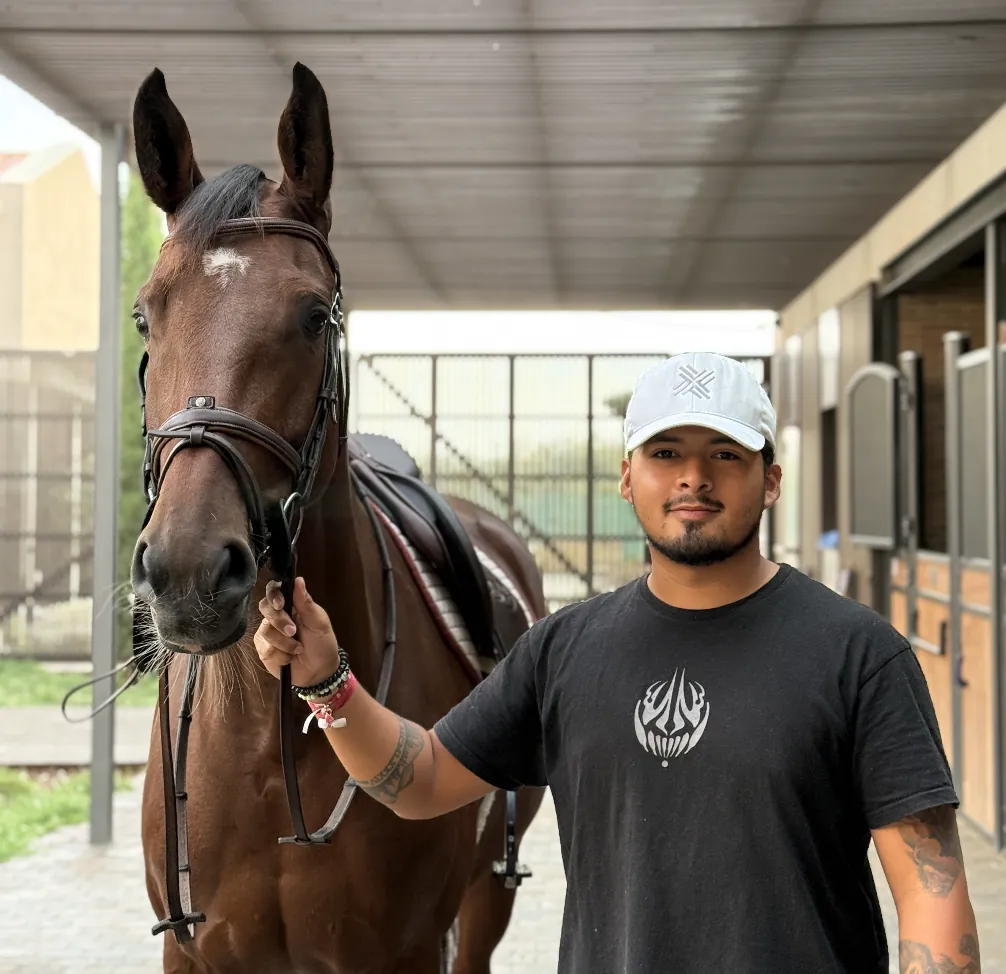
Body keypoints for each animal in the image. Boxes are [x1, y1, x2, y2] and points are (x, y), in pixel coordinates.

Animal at [128, 62, 547, 974]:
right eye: (145, 314)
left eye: (314, 315)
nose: (187, 571)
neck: (264, 741)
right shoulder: (194, 954)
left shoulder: (407, 950)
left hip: (486, 898)